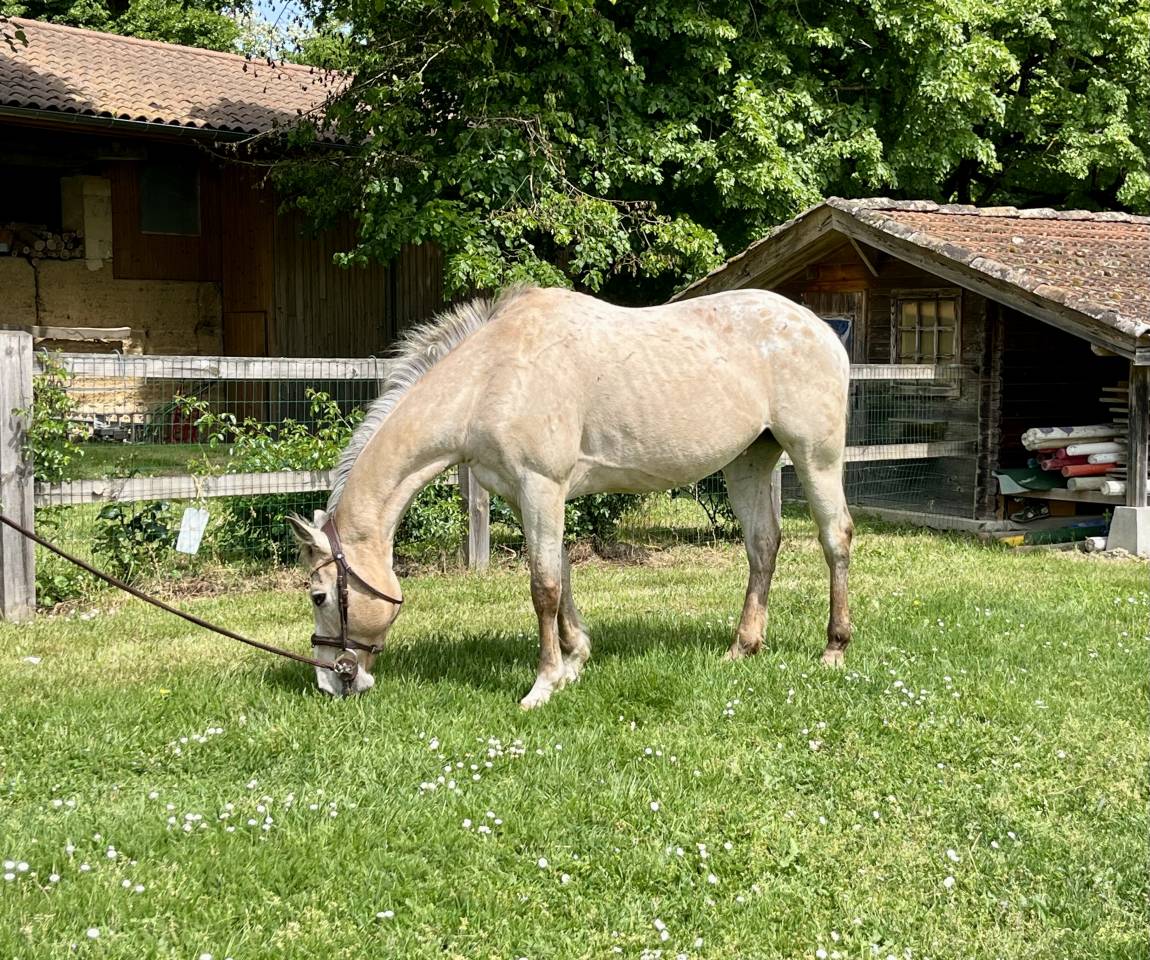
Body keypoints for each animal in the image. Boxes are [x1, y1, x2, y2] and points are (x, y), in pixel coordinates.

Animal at [287, 285, 853, 707]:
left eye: (319, 595)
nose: (331, 682)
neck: (490, 377)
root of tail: (821, 329)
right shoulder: (528, 497)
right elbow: (560, 576)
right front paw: (574, 660)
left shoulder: (542, 486)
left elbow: (543, 587)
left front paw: (542, 685)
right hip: (749, 462)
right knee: (762, 546)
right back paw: (743, 647)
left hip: (816, 455)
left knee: (835, 539)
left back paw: (833, 649)